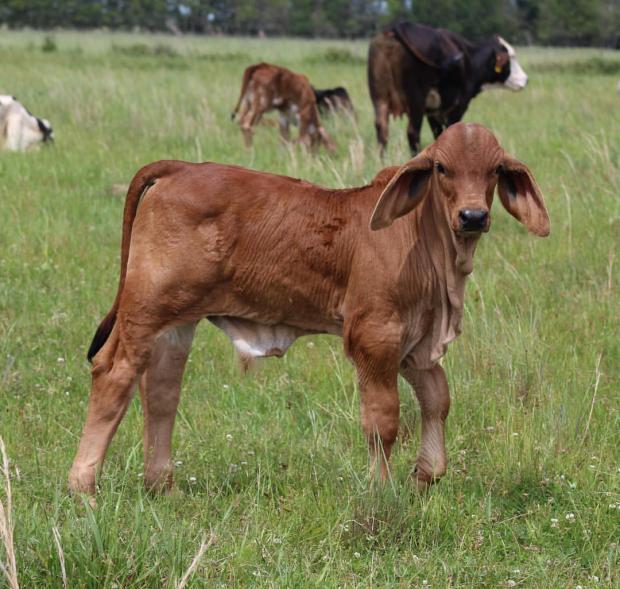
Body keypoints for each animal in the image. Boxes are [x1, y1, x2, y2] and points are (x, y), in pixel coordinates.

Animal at [70, 124, 548, 496]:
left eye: (494, 170)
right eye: (442, 168)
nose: (473, 216)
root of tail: (181, 167)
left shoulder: (415, 341)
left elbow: (438, 399)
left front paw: (425, 475)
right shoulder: (375, 334)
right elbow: (384, 419)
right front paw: (381, 491)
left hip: (177, 320)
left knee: (161, 390)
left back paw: (161, 487)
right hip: (145, 308)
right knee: (114, 375)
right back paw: (84, 488)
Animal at [368, 21, 528, 153]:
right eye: (510, 58)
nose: (525, 79)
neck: (470, 60)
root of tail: (394, 27)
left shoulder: (433, 111)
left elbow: (439, 134)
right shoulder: (458, 107)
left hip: (379, 98)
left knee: (382, 130)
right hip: (416, 101)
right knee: (413, 133)